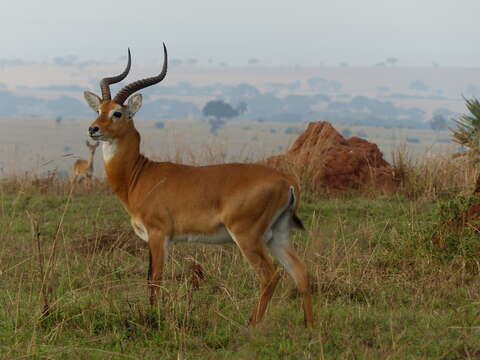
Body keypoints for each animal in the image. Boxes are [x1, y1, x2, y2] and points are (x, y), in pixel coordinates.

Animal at [81, 44, 316, 326]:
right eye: (98, 110)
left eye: (117, 112)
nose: (93, 129)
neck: (140, 175)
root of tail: (287, 181)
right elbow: (150, 278)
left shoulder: (159, 235)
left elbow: (155, 279)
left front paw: (153, 319)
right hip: (277, 235)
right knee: (300, 272)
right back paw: (310, 329)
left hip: (248, 237)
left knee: (270, 276)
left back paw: (250, 327)